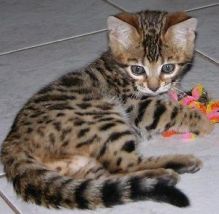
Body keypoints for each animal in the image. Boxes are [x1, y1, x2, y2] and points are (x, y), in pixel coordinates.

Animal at [0, 10, 215, 209]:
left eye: (168, 67)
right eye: (137, 69)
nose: (153, 87)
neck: (119, 69)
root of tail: (12, 141)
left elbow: (175, 95)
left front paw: (195, 96)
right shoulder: (138, 106)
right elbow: (171, 110)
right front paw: (202, 121)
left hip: (85, 161)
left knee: (107, 177)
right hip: (102, 117)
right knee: (123, 164)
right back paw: (173, 169)